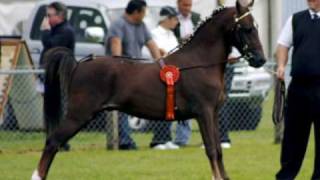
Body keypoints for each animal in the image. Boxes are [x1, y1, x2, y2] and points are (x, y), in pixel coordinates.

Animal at [32, 0, 266, 179]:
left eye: (256, 26)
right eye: (247, 28)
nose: (260, 59)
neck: (199, 63)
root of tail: (79, 64)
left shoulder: (213, 113)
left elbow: (217, 149)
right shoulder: (204, 112)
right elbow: (211, 150)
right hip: (78, 115)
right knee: (52, 142)